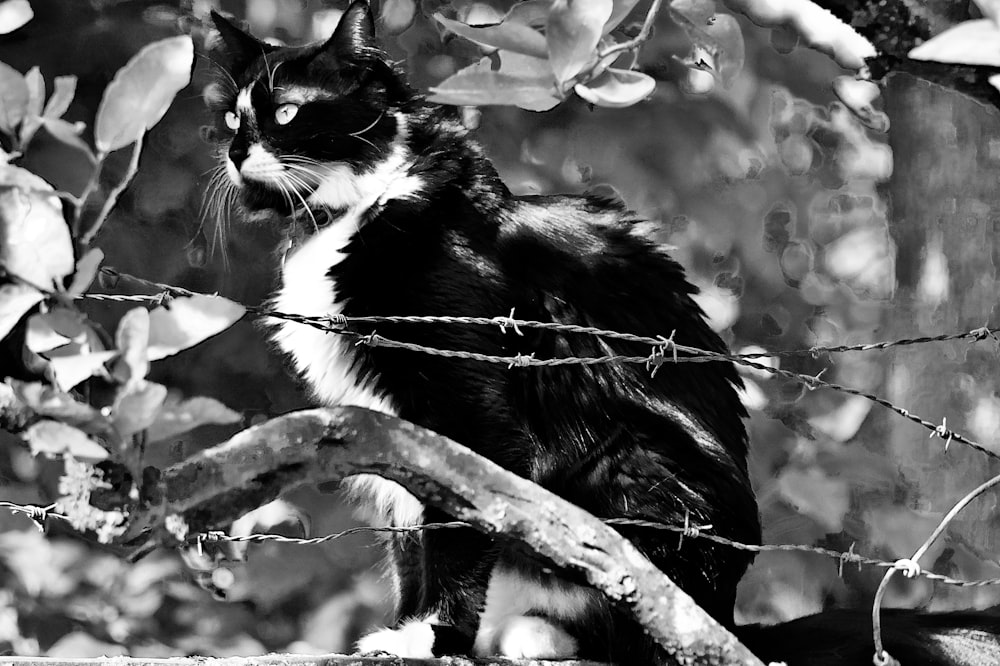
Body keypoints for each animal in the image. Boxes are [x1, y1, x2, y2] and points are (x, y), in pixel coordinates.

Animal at [207, 5, 996, 664]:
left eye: (286, 112)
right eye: (233, 118)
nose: (238, 153)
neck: (356, 212)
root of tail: (730, 620)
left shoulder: (471, 412)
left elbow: (458, 535)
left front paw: (431, 641)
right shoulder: (393, 433)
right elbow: (413, 548)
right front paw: (409, 628)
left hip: (631, 468)